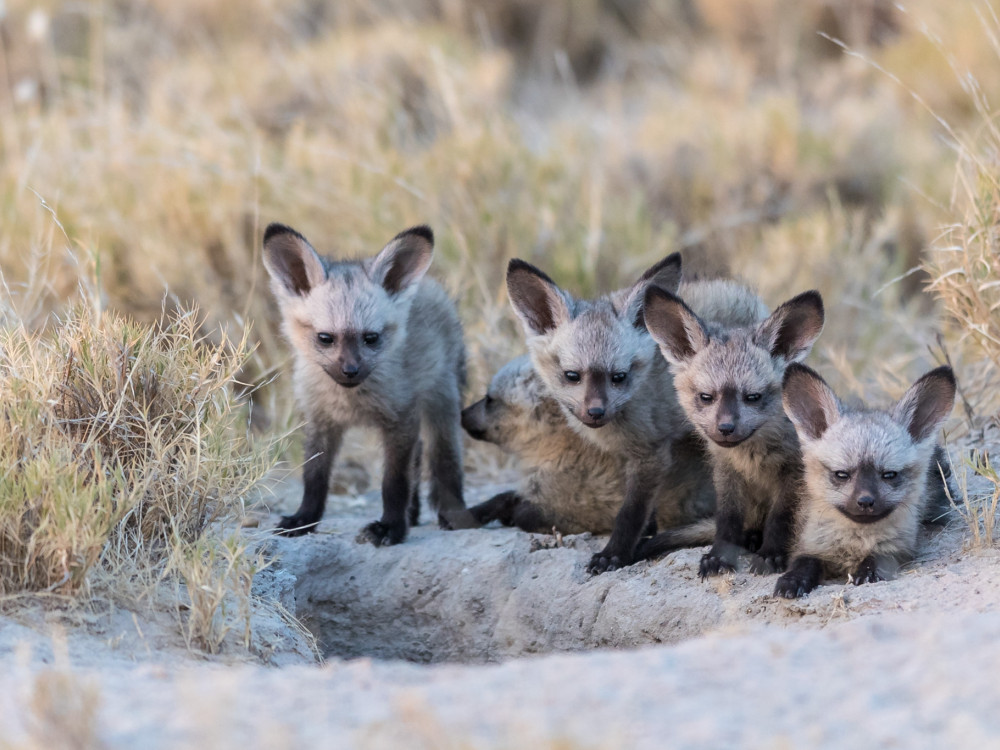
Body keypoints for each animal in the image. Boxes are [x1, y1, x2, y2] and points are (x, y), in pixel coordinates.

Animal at [262, 222, 473, 545]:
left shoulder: (400, 419)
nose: (350, 370)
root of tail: (430, 286)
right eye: (325, 338)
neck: (351, 402)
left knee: (444, 460)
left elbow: (394, 482)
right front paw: (304, 520)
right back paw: (414, 514)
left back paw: (452, 512)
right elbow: (314, 477)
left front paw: (391, 528)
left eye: (370, 338)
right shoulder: (320, 421)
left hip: (441, 403)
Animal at [505, 255, 763, 573]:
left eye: (618, 377)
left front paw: (614, 554)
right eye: (572, 376)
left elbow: (630, 512)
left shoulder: (651, 454)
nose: (595, 412)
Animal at [641, 285, 824, 577]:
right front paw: (719, 556)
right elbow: (727, 521)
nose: (725, 428)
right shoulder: (726, 472)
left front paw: (771, 555)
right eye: (706, 397)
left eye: (753, 397)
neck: (752, 459)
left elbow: (781, 518)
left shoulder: (793, 473)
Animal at [774, 363, 956, 598]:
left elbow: (876, 558)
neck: (854, 543)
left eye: (889, 474)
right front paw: (792, 580)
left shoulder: (899, 547)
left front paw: (867, 573)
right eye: (841, 474)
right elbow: (803, 563)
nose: (865, 502)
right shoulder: (809, 543)